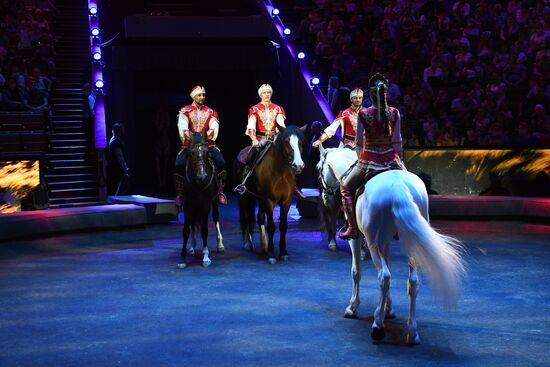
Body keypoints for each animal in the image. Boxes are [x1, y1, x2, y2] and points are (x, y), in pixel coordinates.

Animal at [235, 126, 308, 264]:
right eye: (286, 141)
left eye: (301, 141)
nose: (298, 165)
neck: (280, 173)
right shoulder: (269, 200)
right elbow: (271, 226)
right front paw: (271, 254)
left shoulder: (286, 201)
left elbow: (283, 226)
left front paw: (283, 252)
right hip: (245, 197)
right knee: (246, 216)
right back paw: (248, 243)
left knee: (259, 217)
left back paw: (264, 245)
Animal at [326, 147, 468, 344]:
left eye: (319, 169)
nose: (325, 197)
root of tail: (399, 187)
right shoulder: (385, 241)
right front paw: (388, 308)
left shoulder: (357, 238)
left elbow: (357, 272)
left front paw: (353, 307)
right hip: (412, 241)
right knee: (412, 281)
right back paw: (412, 331)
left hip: (373, 242)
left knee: (384, 276)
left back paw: (377, 326)